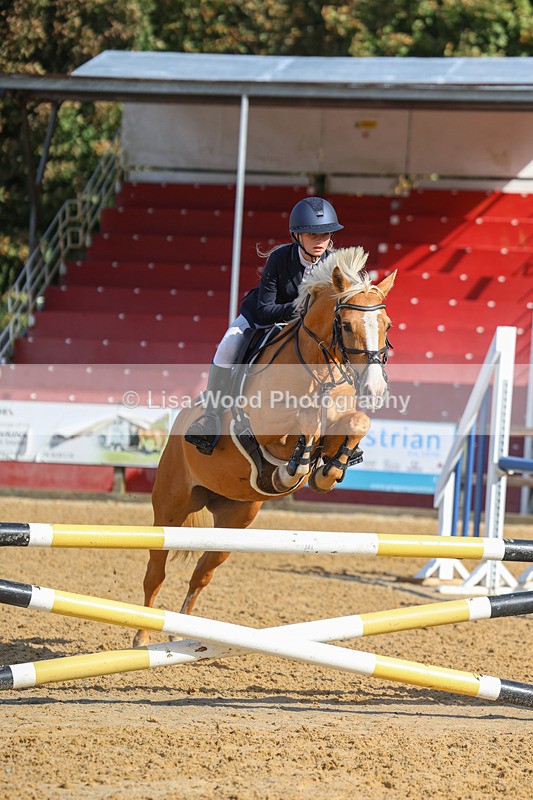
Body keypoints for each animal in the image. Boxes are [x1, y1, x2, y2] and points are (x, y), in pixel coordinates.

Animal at [133, 247, 395, 646]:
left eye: (388, 325)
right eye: (347, 325)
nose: (375, 389)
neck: (318, 371)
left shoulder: (341, 421)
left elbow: (356, 423)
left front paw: (327, 471)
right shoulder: (265, 425)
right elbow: (304, 421)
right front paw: (294, 470)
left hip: (235, 522)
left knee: (202, 574)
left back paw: (185, 637)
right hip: (170, 508)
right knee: (155, 572)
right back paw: (142, 638)